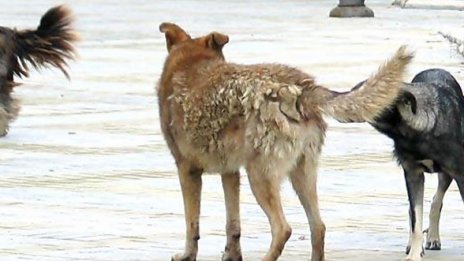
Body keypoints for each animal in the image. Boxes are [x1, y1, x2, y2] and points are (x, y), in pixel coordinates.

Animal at [157, 22, 414, 260]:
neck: (190, 63)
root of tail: (302, 88)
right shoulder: (230, 173)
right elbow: (233, 226)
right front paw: (232, 256)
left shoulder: (187, 170)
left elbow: (192, 224)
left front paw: (187, 255)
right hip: (302, 175)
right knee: (318, 227)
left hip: (260, 177)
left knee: (283, 229)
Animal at [354, 68, 462, 258]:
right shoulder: (412, 174)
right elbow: (415, 218)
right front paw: (414, 254)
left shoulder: (460, 172)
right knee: (416, 211)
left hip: (447, 175)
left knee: (437, 199)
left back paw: (433, 238)